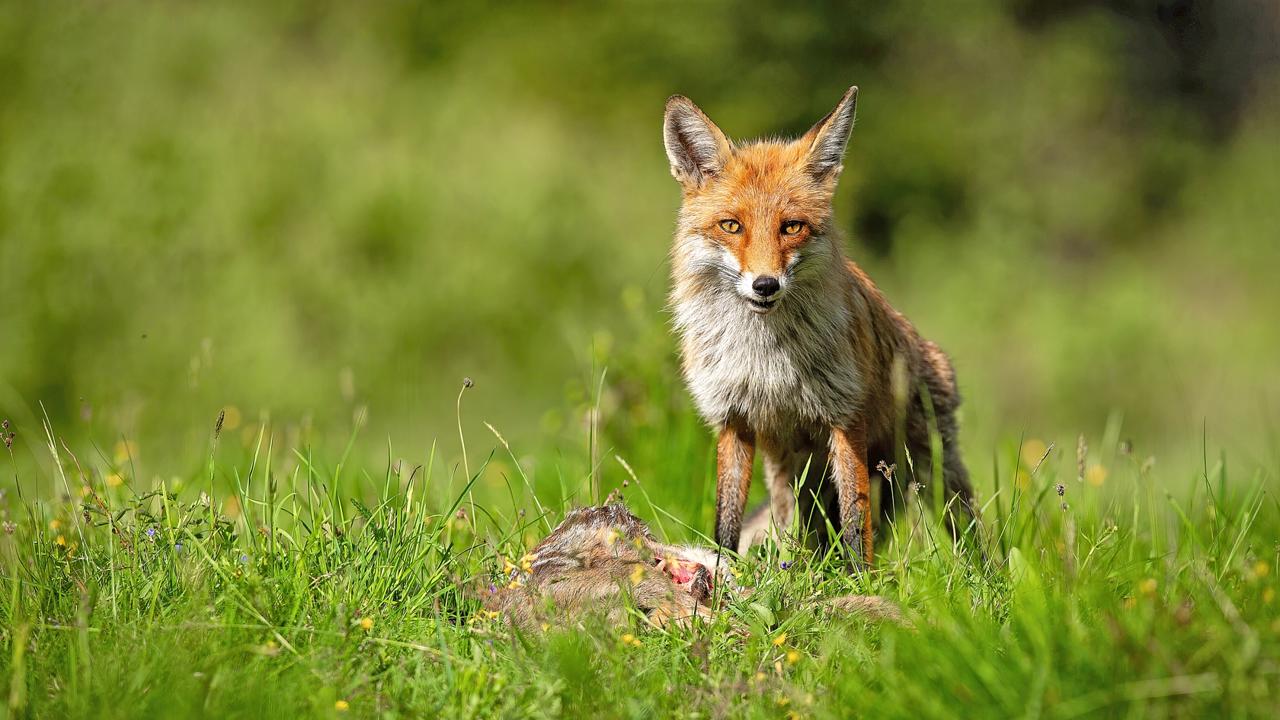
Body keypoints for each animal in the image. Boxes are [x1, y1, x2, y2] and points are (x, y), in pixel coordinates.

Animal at [660, 87, 977, 563]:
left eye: (792, 227)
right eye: (731, 226)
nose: (765, 285)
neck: (765, 359)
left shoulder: (845, 416)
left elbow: (855, 522)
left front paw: (861, 577)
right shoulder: (732, 419)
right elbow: (726, 522)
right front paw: (723, 571)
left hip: (935, 469)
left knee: (970, 534)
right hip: (791, 476)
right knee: (792, 530)